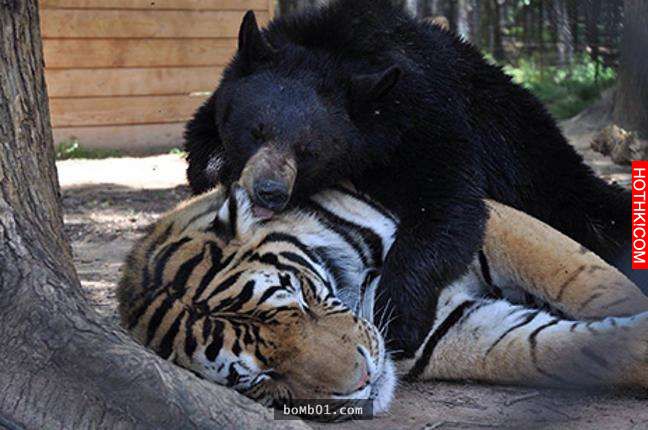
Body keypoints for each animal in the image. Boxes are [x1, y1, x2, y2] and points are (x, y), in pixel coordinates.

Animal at [118, 183, 648, 416]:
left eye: (297, 298)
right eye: (260, 377)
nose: (363, 380)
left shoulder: (476, 219)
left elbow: (582, 276)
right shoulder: (450, 327)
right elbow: (564, 350)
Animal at [184, 0, 633, 356]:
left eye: (309, 150)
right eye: (255, 131)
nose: (270, 192)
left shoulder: (428, 118)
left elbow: (448, 205)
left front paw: (396, 316)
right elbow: (200, 147)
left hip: (531, 156)